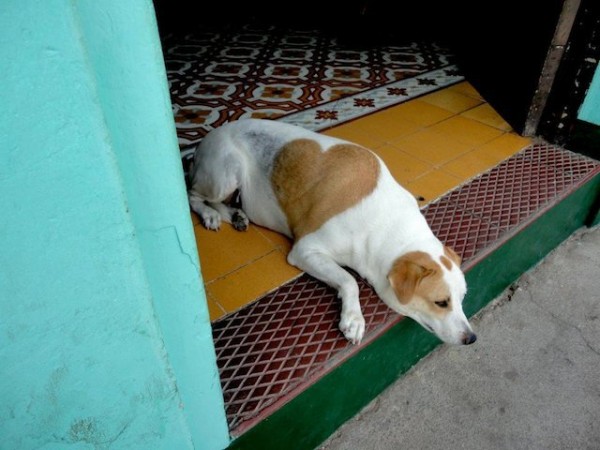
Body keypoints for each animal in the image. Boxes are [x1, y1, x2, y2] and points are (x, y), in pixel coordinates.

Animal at [190, 118, 476, 346]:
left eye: (463, 298)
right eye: (441, 302)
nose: (471, 338)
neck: (386, 225)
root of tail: (211, 133)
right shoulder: (305, 250)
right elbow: (349, 280)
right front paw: (354, 318)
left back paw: (236, 215)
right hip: (227, 173)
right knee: (193, 195)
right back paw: (210, 214)